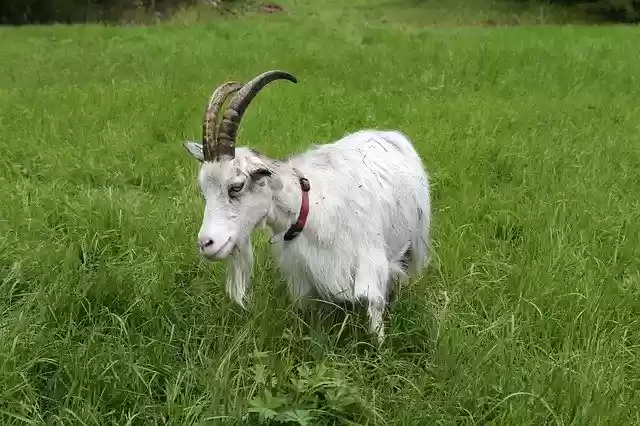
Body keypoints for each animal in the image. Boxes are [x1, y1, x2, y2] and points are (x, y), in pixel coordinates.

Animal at [182, 70, 431, 343]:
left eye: (236, 186)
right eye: (204, 191)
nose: (206, 243)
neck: (308, 207)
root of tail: (389, 134)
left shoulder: (369, 262)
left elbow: (371, 304)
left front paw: (379, 347)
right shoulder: (303, 278)